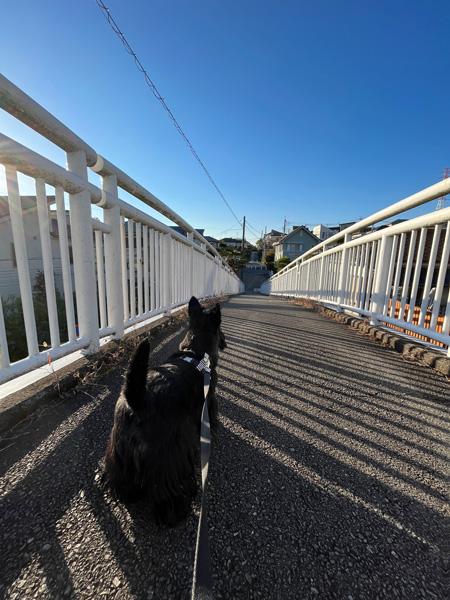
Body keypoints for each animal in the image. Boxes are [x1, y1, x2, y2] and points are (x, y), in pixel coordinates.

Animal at [103, 296, 227, 524]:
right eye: (220, 329)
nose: (224, 341)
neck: (196, 353)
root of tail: (140, 401)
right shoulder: (209, 398)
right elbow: (212, 415)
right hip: (167, 457)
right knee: (165, 490)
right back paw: (177, 511)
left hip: (119, 448)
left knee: (120, 476)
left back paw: (127, 494)